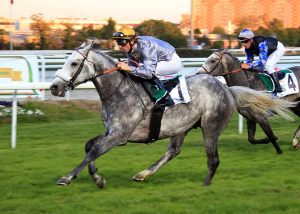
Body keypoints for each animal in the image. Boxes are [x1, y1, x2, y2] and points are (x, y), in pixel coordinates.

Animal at [49, 42, 296, 188]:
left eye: (74, 63)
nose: (54, 87)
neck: (119, 91)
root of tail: (226, 89)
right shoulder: (112, 132)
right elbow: (89, 147)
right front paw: (98, 178)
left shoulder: (119, 135)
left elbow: (93, 152)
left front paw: (67, 177)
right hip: (181, 127)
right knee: (173, 151)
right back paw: (143, 174)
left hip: (210, 127)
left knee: (213, 159)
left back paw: (205, 185)